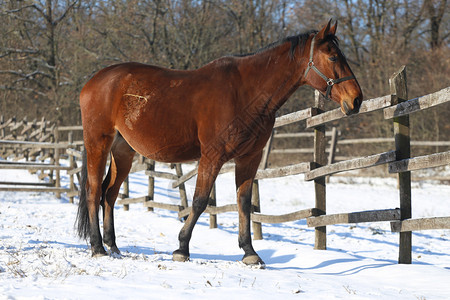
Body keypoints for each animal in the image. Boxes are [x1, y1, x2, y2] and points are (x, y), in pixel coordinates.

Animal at [74, 19, 362, 266]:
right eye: (333, 57)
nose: (356, 100)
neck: (244, 92)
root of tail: (93, 82)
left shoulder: (249, 158)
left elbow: (244, 203)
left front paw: (249, 252)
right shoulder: (212, 156)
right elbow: (200, 201)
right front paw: (182, 248)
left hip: (123, 151)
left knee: (110, 194)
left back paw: (113, 246)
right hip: (98, 144)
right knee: (93, 191)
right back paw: (98, 247)